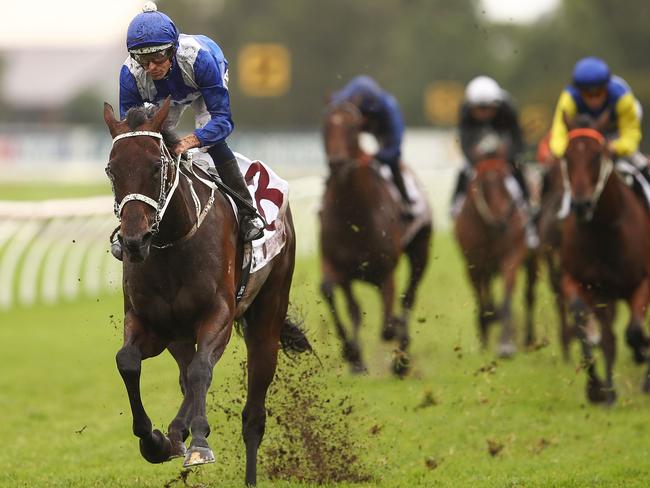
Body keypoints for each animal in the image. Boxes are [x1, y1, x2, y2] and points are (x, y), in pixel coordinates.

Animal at [102, 97, 310, 486]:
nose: (134, 241)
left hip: (268, 316)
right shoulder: (149, 322)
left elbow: (202, 371)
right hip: (179, 335)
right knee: (186, 376)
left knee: (252, 414)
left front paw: (199, 443)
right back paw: (173, 434)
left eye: (156, 166)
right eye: (111, 169)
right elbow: (128, 361)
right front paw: (154, 440)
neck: (171, 243)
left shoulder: (219, 315)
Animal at [318, 101, 430, 376]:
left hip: (420, 251)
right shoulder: (338, 266)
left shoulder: (385, 271)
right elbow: (343, 303)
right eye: (325, 126)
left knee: (409, 297)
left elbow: (388, 324)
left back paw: (402, 359)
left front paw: (397, 349)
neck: (354, 216)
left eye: (352, 128)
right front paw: (354, 357)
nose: (337, 162)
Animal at [556, 126, 648, 404]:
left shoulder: (643, 283)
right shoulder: (585, 283)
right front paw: (600, 391)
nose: (581, 204)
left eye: (598, 155)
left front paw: (642, 352)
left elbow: (634, 331)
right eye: (566, 156)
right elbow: (592, 332)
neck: (602, 233)